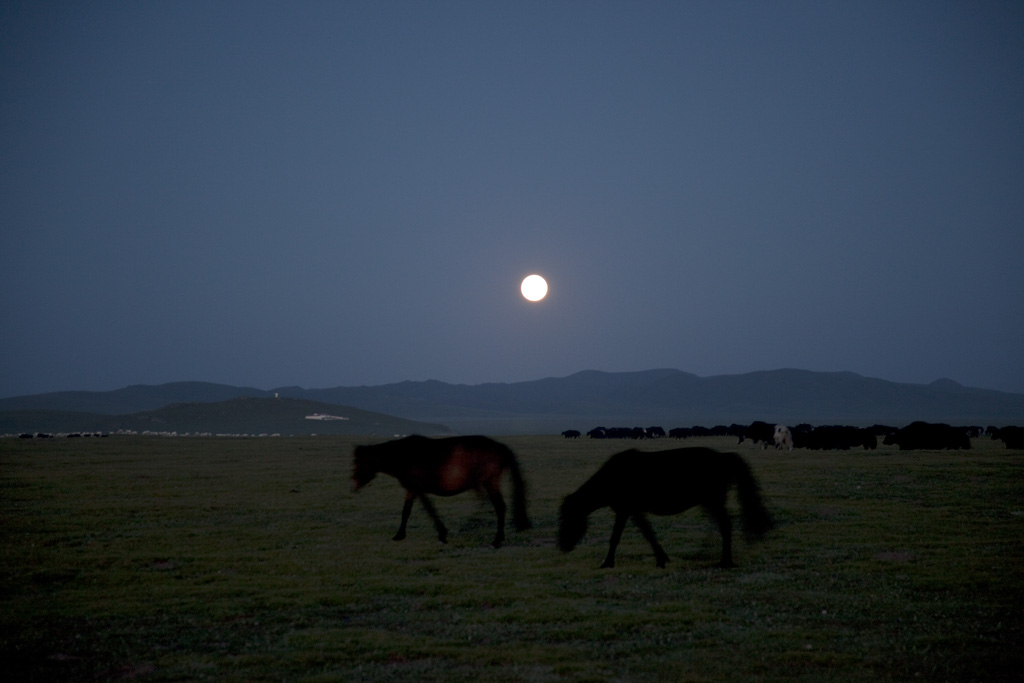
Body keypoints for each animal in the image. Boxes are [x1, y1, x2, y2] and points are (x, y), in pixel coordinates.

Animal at [352, 438, 528, 548]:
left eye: (358, 462)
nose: (354, 485)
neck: (405, 456)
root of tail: (501, 448)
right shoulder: (413, 490)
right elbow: (410, 510)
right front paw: (401, 535)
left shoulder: (416, 488)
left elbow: (425, 511)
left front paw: (441, 534)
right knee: (486, 504)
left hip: (490, 483)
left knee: (499, 507)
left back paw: (496, 540)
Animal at [561, 446, 770, 569]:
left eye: (569, 518)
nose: (563, 546)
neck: (613, 476)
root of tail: (724, 457)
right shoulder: (632, 511)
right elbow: (648, 533)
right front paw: (662, 558)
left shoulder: (625, 510)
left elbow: (617, 537)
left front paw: (607, 563)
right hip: (711, 502)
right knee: (721, 525)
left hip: (713, 501)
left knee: (725, 525)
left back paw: (725, 561)